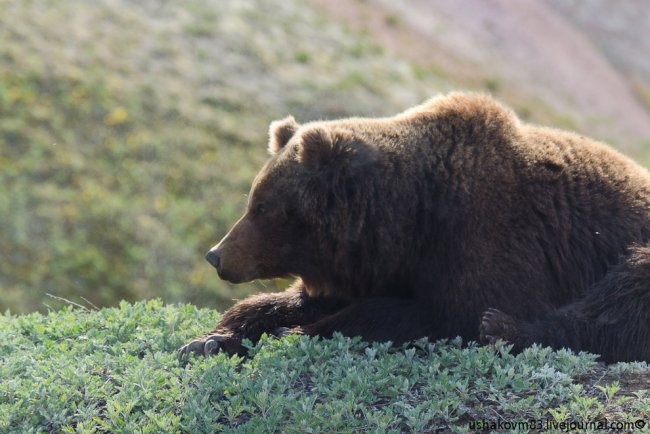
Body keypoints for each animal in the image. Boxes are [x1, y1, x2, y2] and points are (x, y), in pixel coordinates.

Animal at [177, 94, 648, 362]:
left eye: (261, 206)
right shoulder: (378, 266)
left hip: (634, 245)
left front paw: (292, 332)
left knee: (619, 299)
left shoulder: (488, 238)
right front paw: (212, 339)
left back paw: (503, 328)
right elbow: (291, 302)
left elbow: (442, 315)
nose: (216, 255)